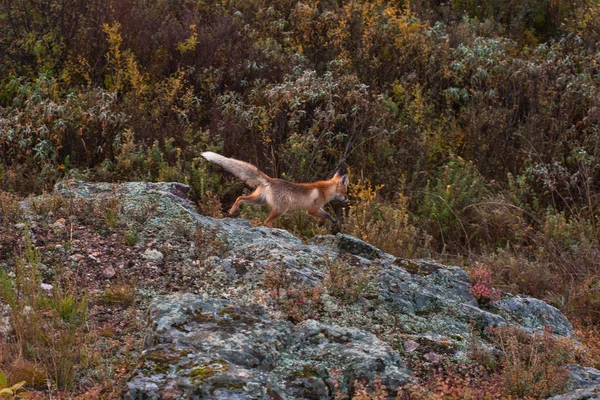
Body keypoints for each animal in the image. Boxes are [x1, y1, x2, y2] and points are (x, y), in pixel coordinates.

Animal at [203, 152, 350, 228]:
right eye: (345, 192)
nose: (348, 200)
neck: (324, 190)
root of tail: (271, 180)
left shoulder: (317, 208)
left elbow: (327, 215)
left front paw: (331, 221)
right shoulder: (312, 209)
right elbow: (323, 215)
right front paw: (322, 222)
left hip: (259, 201)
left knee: (240, 198)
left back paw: (232, 211)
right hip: (281, 209)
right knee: (266, 222)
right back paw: (274, 231)